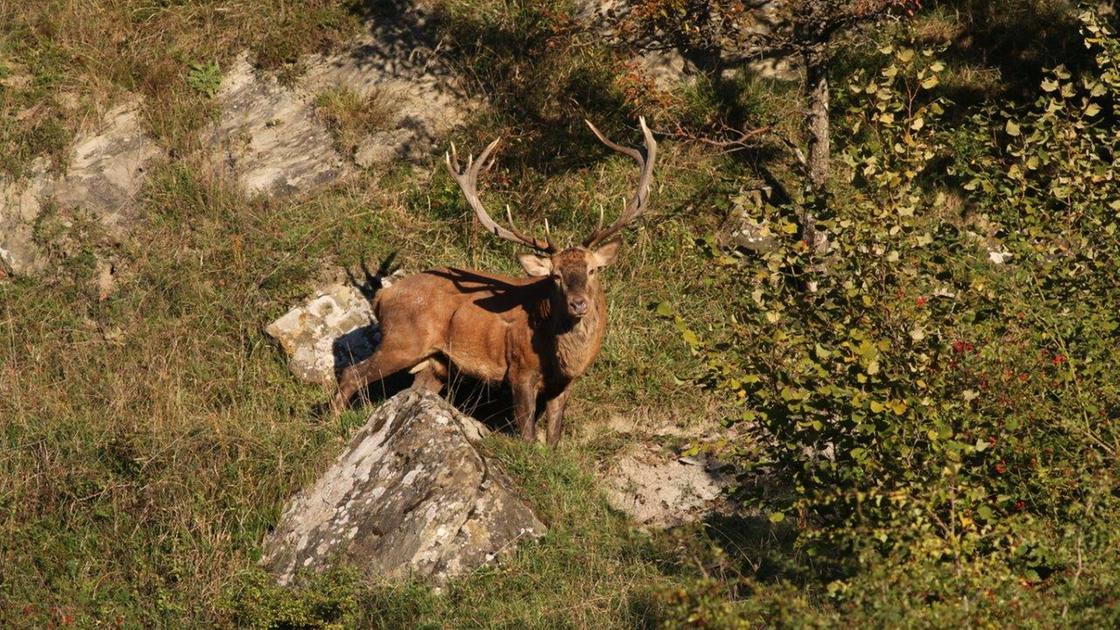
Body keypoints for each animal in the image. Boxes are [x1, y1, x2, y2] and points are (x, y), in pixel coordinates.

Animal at [327, 117, 654, 441]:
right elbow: (527, 434)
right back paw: (334, 426)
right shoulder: (520, 370)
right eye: (555, 276)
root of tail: (383, 295)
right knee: (350, 374)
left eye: (592, 270)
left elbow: (554, 437)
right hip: (402, 340)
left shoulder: (565, 383)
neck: (562, 357)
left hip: (437, 362)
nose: (578, 304)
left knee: (415, 389)